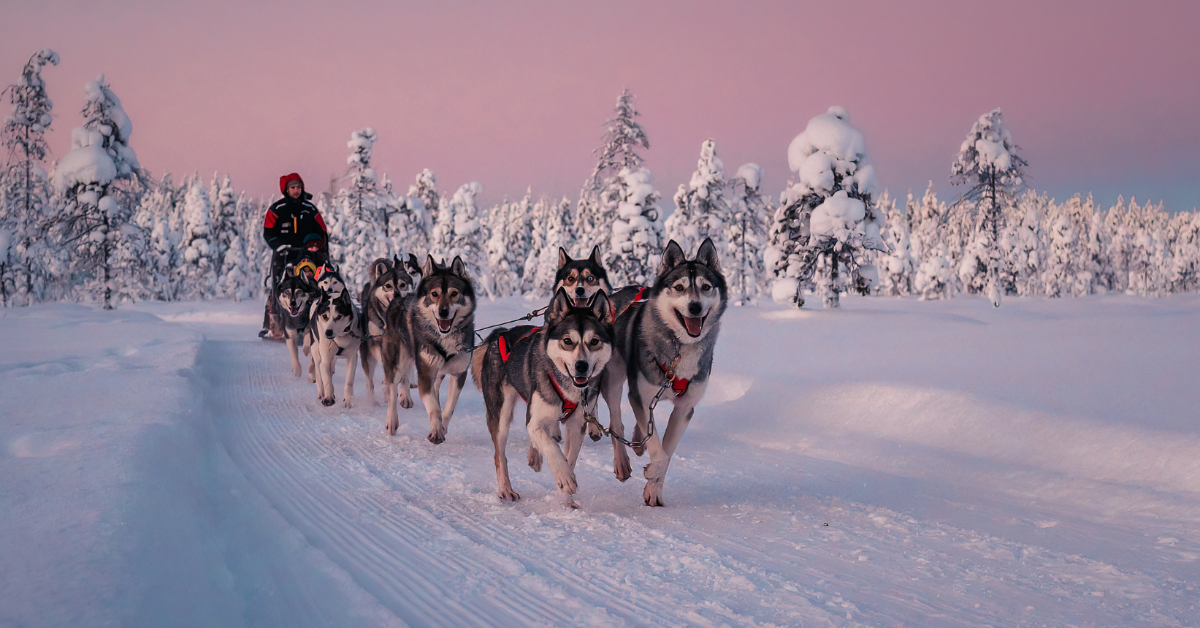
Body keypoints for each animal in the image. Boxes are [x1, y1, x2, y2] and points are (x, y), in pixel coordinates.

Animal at [384, 255, 477, 441]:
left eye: (454, 293)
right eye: (434, 294)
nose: (443, 312)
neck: (444, 338)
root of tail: (399, 299)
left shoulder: (458, 374)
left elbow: (448, 408)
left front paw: (442, 426)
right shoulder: (425, 375)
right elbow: (433, 408)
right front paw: (436, 431)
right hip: (397, 362)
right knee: (392, 389)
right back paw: (391, 421)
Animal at [472, 289, 614, 506]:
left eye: (594, 341)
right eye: (567, 341)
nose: (581, 366)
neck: (567, 387)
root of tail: (500, 333)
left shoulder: (577, 424)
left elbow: (569, 458)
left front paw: (566, 498)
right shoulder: (534, 422)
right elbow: (552, 448)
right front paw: (564, 476)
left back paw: (534, 455)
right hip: (501, 413)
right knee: (499, 455)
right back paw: (506, 488)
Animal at [604, 238, 724, 509]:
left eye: (706, 287)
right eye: (679, 287)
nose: (694, 306)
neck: (680, 348)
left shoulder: (684, 409)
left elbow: (667, 453)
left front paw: (654, 490)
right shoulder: (640, 394)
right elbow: (659, 453)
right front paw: (651, 470)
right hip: (614, 379)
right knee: (616, 420)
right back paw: (622, 462)